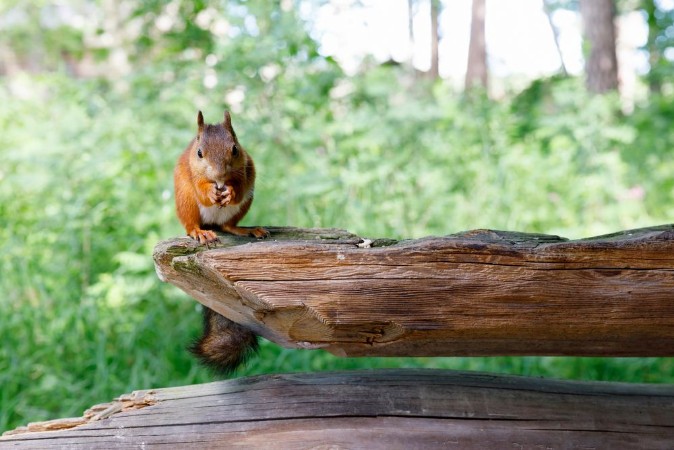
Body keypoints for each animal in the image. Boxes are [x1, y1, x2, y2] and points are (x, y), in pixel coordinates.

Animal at [174, 110, 268, 374]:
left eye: (234, 149)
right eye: (199, 153)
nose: (219, 176)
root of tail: (212, 224)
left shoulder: (245, 168)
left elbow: (239, 185)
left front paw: (230, 191)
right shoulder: (193, 175)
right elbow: (203, 189)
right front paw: (211, 191)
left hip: (246, 202)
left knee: (228, 225)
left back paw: (245, 229)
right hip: (186, 200)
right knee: (191, 223)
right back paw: (200, 232)